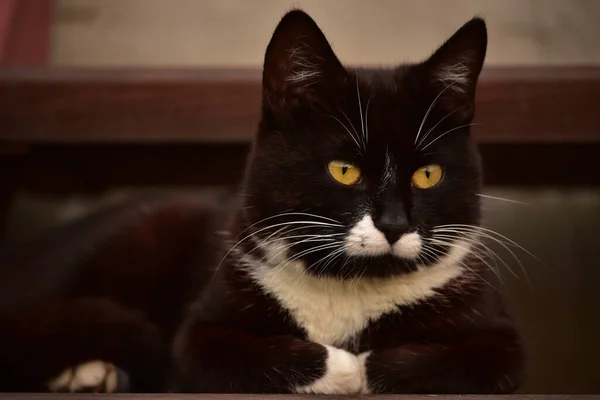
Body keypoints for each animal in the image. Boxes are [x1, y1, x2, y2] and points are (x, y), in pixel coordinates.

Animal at [0, 8, 524, 394]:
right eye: (344, 170)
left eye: (428, 174)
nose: (394, 224)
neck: (349, 286)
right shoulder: (199, 331)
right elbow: (216, 350)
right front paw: (344, 369)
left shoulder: (502, 338)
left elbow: (471, 360)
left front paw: (363, 366)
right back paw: (87, 370)